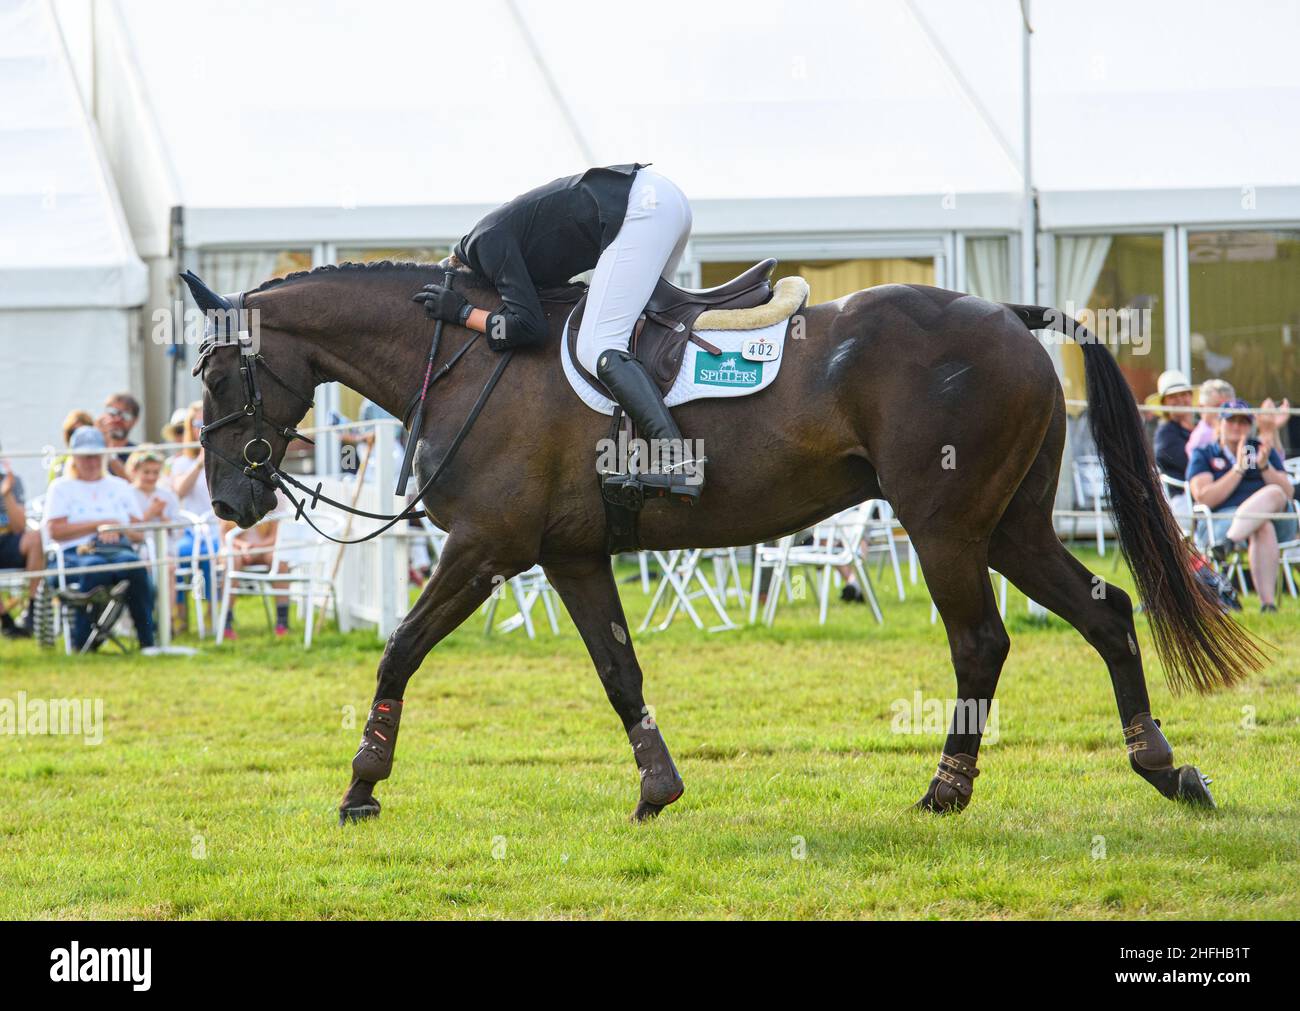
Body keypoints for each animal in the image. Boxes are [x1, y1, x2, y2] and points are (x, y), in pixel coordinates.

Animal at [183, 259, 1258, 821]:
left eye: (218, 373)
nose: (231, 499)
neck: (466, 359)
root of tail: (1009, 313)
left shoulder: (485, 551)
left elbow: (400, 649)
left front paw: (361, 785)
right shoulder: (568, 556)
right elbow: (620, 671)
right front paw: (657, 788)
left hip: (947, 527)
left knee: (980, 643)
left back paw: (946, 788)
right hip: (1012, 528)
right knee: (1106, 610)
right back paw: (1166, 766)